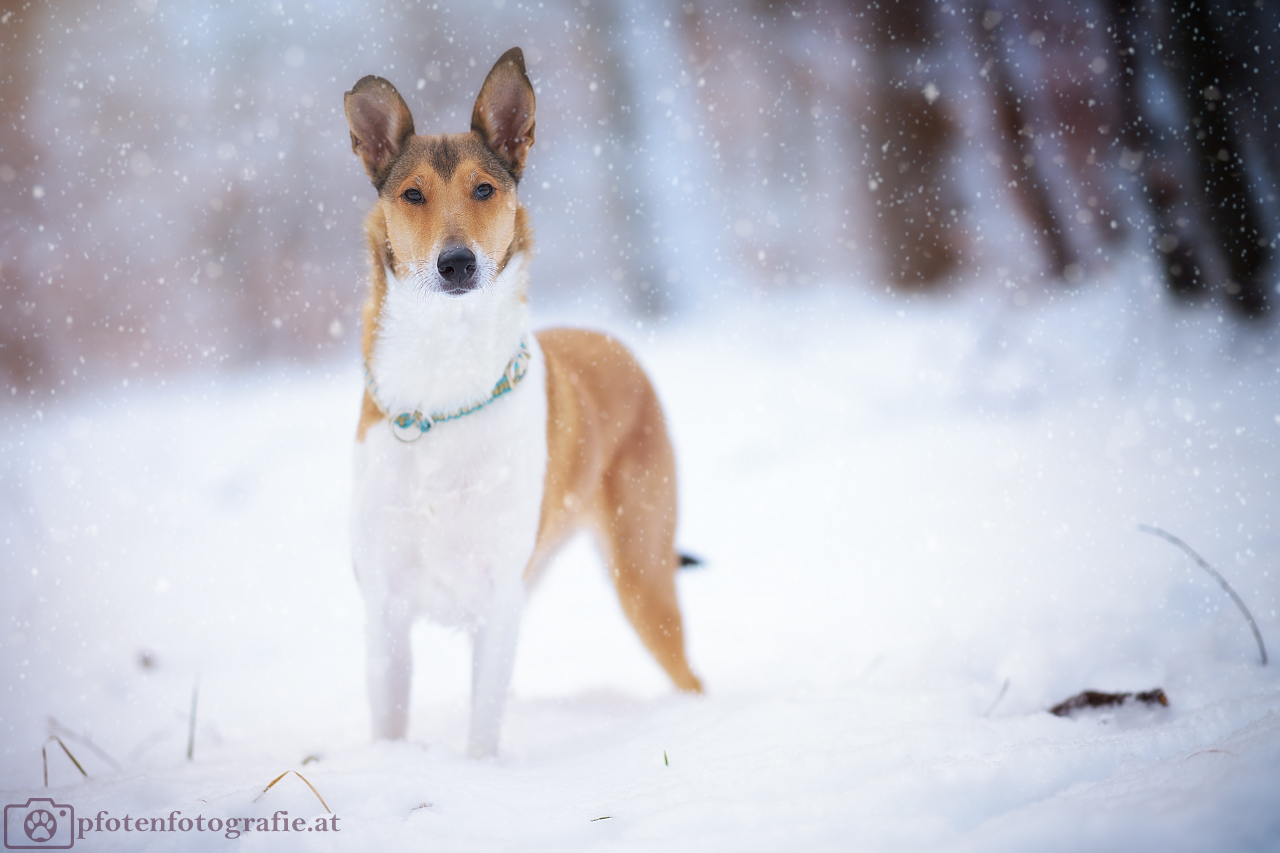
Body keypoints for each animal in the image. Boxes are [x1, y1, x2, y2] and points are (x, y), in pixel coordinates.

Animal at [343, 46, 701, 753]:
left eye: (485, 188)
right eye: (412, 194)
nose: (457, 263)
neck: (444, 386)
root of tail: (616, 343)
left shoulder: (497, 600)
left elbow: (483, 734)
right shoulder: (385, 610)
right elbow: (390, 728)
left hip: (641, 574)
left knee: (690, 676)